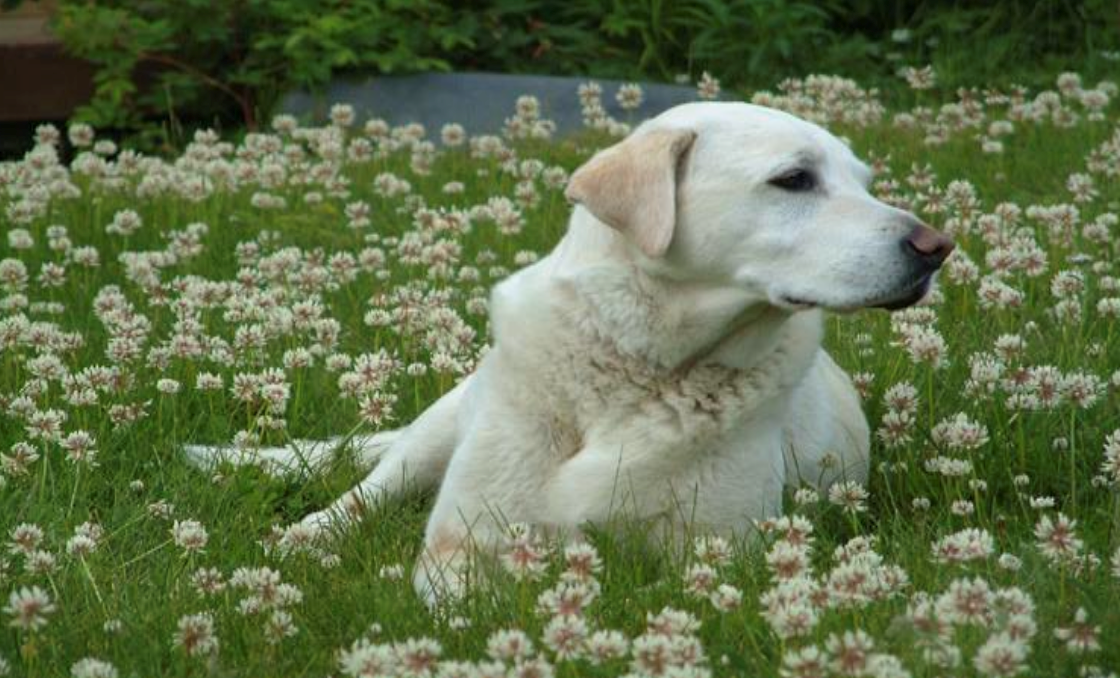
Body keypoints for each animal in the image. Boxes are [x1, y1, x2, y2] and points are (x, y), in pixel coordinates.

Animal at [188, 101, 949, 600]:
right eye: (793, 179)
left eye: (863, 182)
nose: (938, 247)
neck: (641, 367)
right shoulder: (461, 538)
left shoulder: (724, 552)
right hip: (439, 428)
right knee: (366, 491)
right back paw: (305, 536)